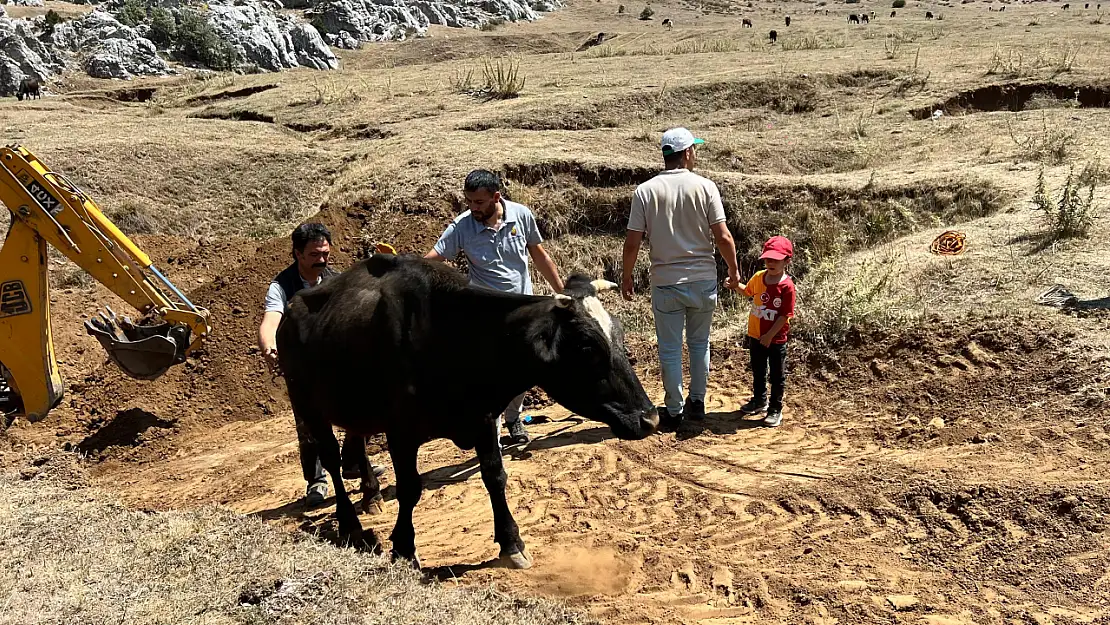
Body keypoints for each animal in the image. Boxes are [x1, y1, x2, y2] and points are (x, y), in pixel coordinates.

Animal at [279, 254, 657, 568]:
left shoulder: (483, 418)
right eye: (586, 346)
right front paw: (403, 548)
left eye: (619, 334)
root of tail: (292, 308)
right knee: (330, 459)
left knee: (355, 442)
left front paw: (511, 542)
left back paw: (371, 493)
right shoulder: (401, 432)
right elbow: (410, 488)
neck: (454, 337)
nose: (650, 418)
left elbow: (495, 476)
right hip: (307, 405)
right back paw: (350, 524)